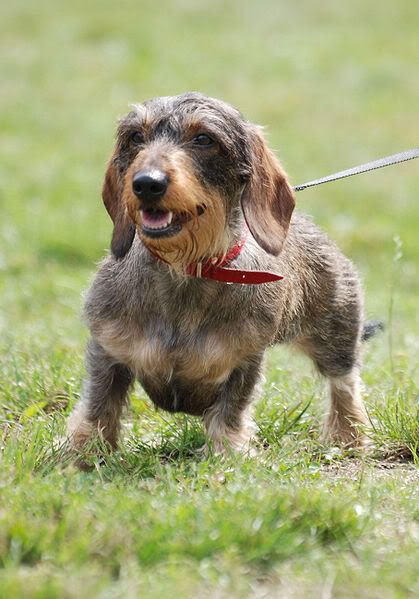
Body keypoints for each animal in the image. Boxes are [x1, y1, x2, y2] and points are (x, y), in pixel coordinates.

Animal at [66, 94, 380, 460]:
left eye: (204, 139)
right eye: (135, 137)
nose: (146, 183)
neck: (187, 268)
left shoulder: (244, 360)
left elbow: (230, 413)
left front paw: (226, 455)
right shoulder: (108, 350)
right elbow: (98, 406)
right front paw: (81, 454)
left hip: (335, 335)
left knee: (345, 383)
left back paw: (349, 437)